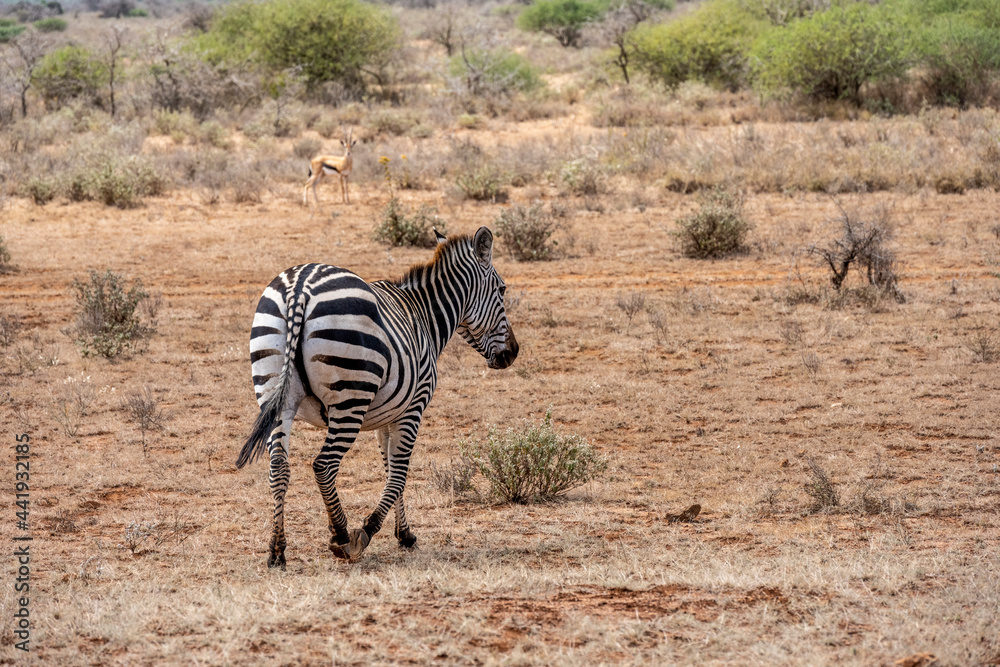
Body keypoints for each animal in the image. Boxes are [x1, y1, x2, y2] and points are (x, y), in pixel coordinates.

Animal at [237, 226, 518, 568]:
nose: (513, 353)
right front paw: (370, 530)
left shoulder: (388, 414)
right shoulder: (413, 408)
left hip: (273, 393)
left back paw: (277, 550)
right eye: (502, 290)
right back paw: (343, 536)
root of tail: (299, 289)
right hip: (350, 399)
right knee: (324, 465)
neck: (423, 315)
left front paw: (404, 533)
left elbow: (389, 468)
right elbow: (399, 474)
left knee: (278, 466)